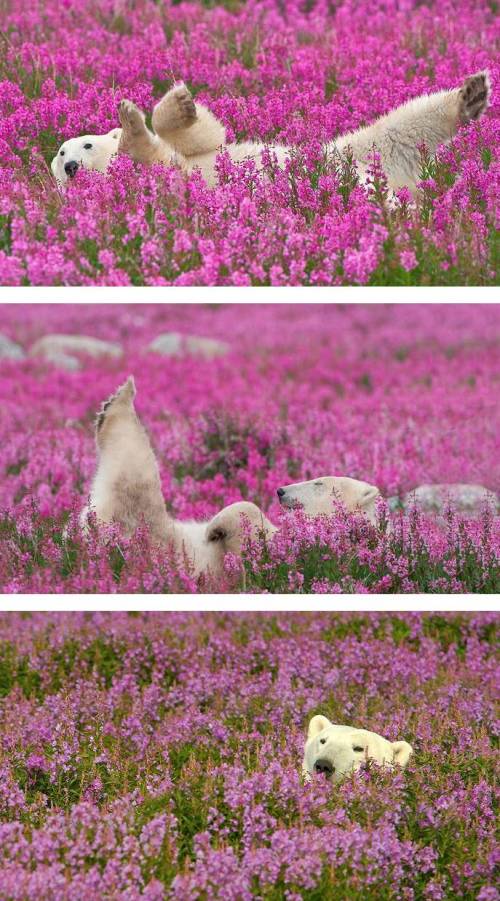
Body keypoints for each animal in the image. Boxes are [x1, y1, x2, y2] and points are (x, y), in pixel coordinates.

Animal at [52, 72, 490, 193]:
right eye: (60, 156)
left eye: (83, 144)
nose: (71, 166)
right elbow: (147, 154)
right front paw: (131, 123)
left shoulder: (195, 153)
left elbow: (207, 136)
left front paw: (175, 103)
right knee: (401, 135)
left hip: (352, 152)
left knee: (401, 126)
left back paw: (471, 94)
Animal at [83, 378, 382, 576]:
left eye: (319, 482)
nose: (281, 490)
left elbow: (249, 527)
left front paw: (212, 529)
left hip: (142, 533)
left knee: (133, 484)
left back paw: (119, 402)